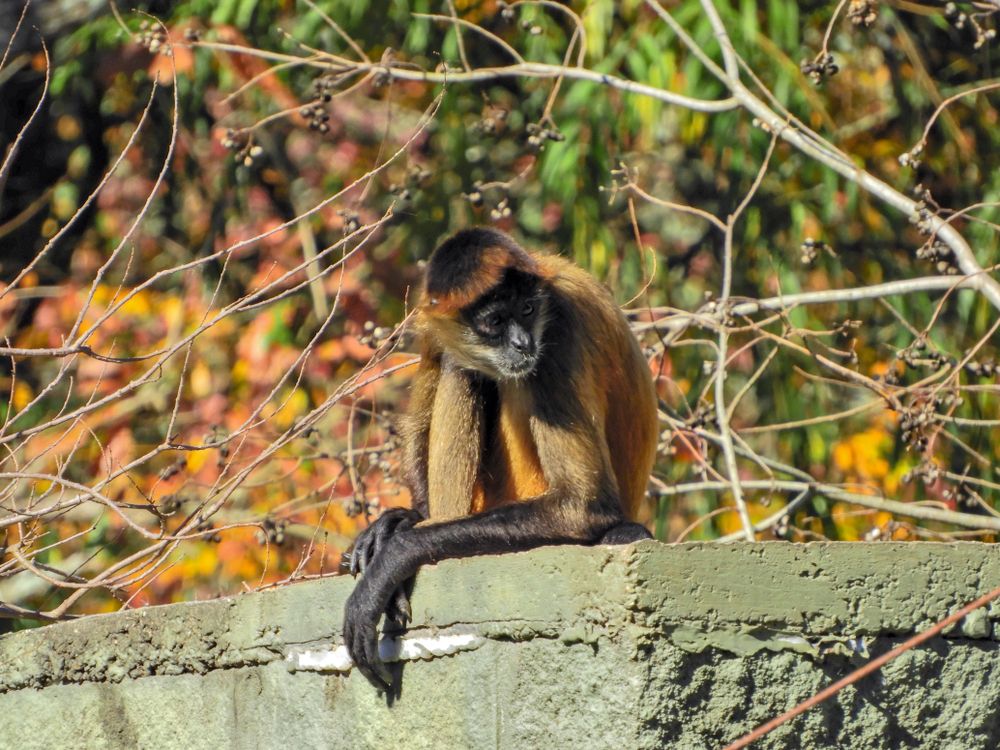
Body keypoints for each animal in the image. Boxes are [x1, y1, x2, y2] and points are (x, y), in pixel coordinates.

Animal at [343, 227, 658, 690]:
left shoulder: (559, 326)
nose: (523, 343)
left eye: (527, 310)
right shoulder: (436, 322)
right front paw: (404, 521)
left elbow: (585, 506)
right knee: (461, 366)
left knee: (470, 370)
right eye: (495, 322)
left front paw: (394, 557)